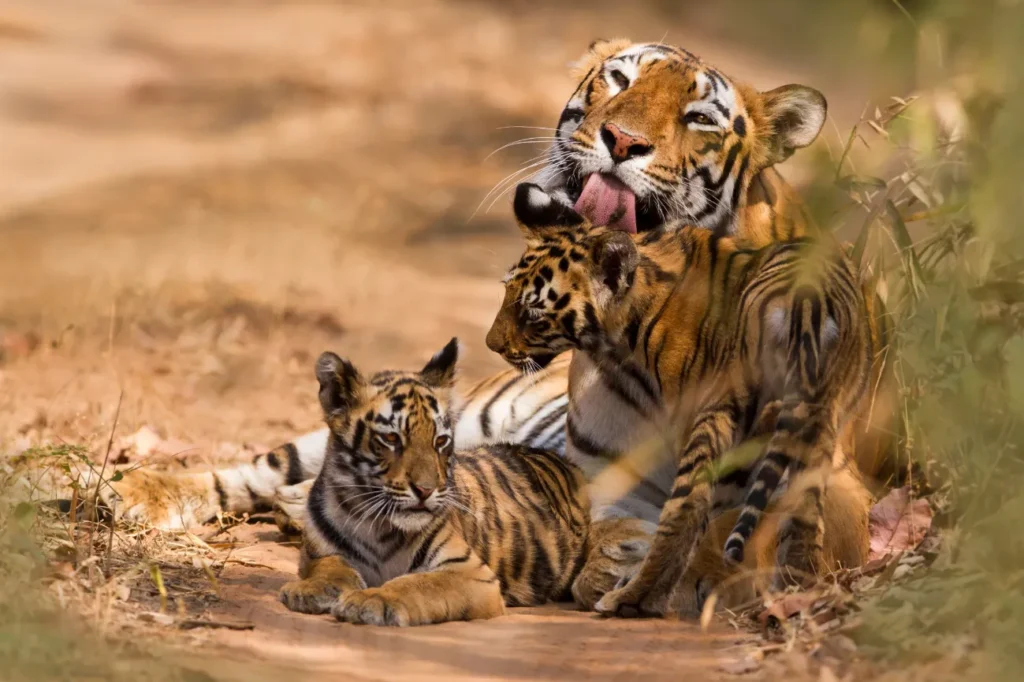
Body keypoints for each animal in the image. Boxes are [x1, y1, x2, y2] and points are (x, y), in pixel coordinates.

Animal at [278, 338, 591, 626]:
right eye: (391, 438)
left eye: (440, 441)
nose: (425, 490)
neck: (374, 525)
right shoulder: (318, 553)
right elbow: (330, 567)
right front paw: (309, 590)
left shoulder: (470, 573)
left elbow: (416, 584)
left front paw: (372, 599)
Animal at [484, 181, 874, 617]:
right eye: (506, 293)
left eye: (533, 314)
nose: (491, 344)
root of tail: (806, 301)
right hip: (817, 421)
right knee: (803, 514)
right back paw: (795, 592)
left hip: (726, 415)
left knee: (689, 511)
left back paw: (634, 599)